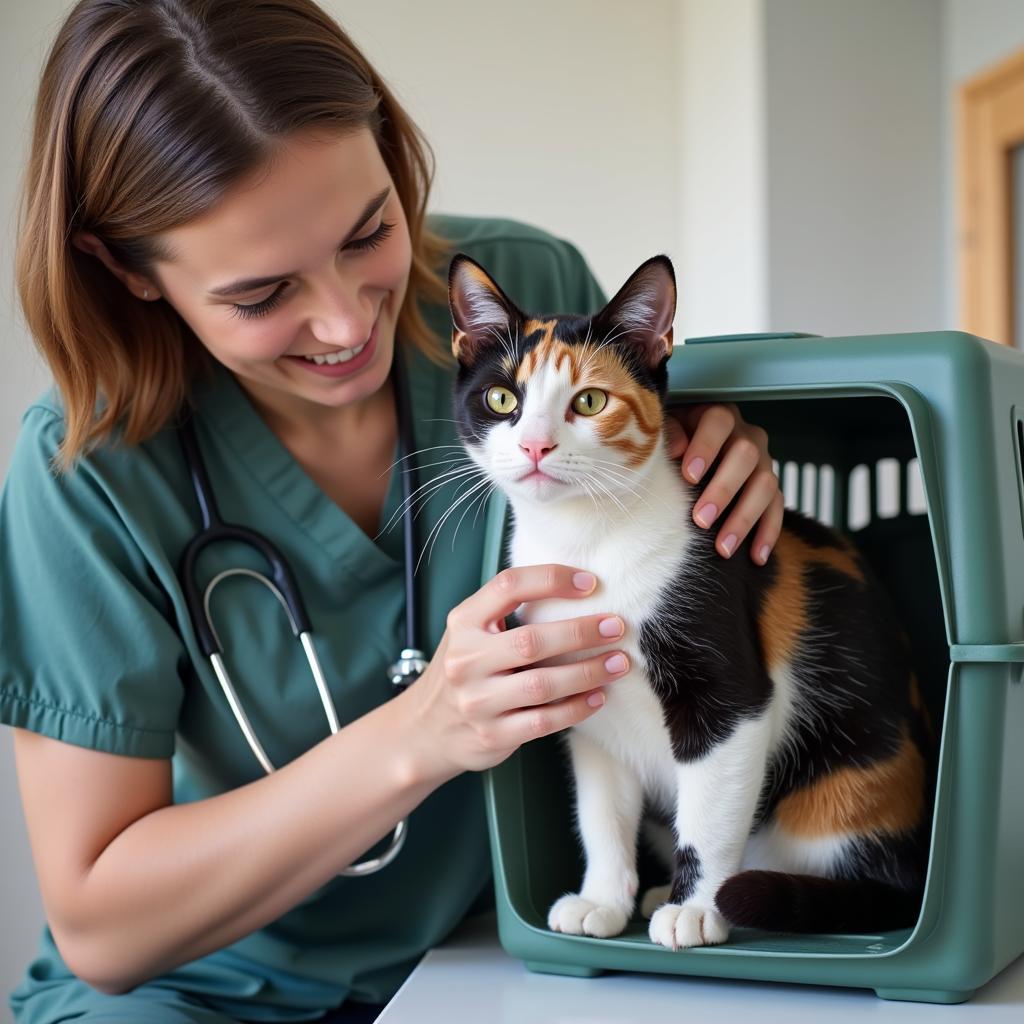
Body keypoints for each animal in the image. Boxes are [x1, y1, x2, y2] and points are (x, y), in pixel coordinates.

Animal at [444, 251, 933, 946]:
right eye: (502, 397)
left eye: (589, 401)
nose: (536, 445)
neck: (588, 544)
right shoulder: (589, 716)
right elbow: (600, 815)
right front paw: (603, 899)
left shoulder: (730, 698)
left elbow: (709, 812)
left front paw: (698, 909)